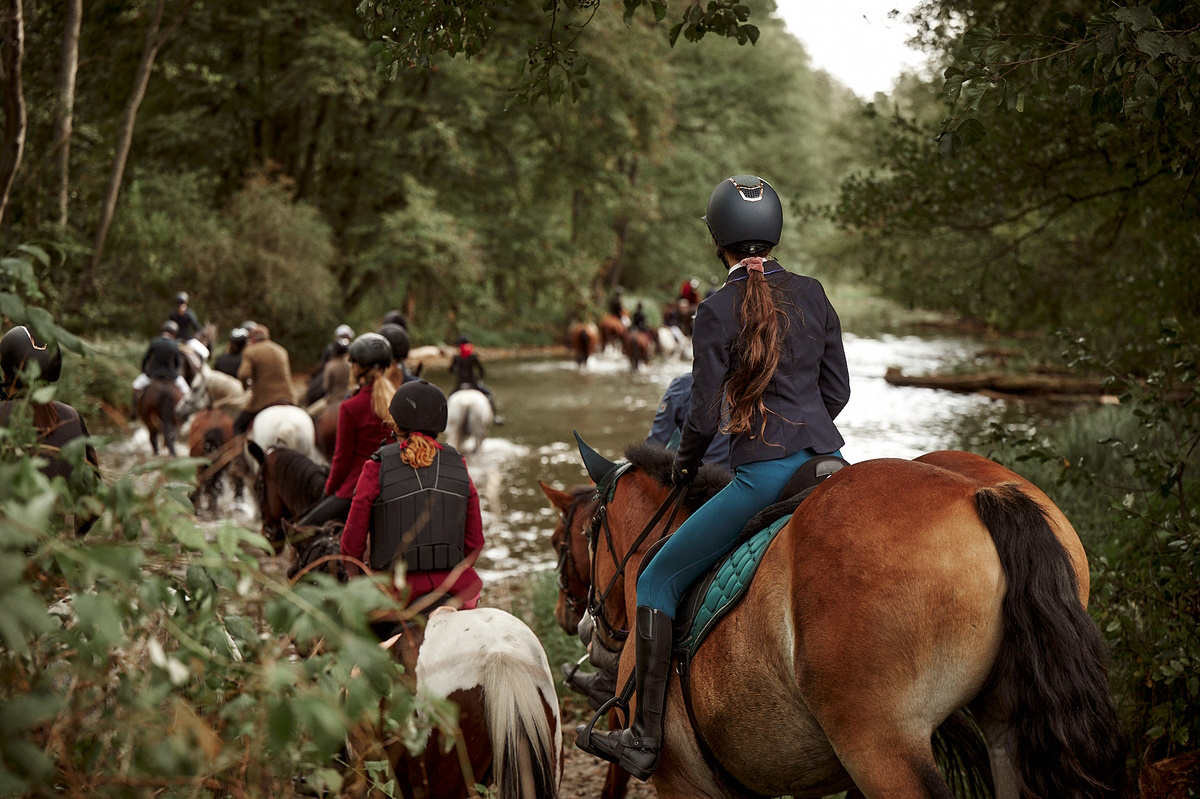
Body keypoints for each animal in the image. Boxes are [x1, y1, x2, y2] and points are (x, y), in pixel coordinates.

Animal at [566, 436, 1128, 796]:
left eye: (585, 535)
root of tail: (981, 495)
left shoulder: (684, 784)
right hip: (1007, 733)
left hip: (881, 747)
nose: (588, 629)